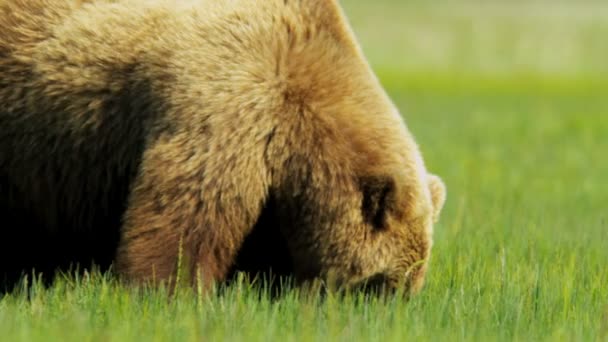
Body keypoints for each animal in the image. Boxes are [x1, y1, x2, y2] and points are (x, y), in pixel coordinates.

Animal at [0, 0, 446, 296]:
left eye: (411, 283)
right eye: (379, 282)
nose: (391, 305)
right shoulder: (229, 103)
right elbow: (188, 215)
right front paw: (167, 290)